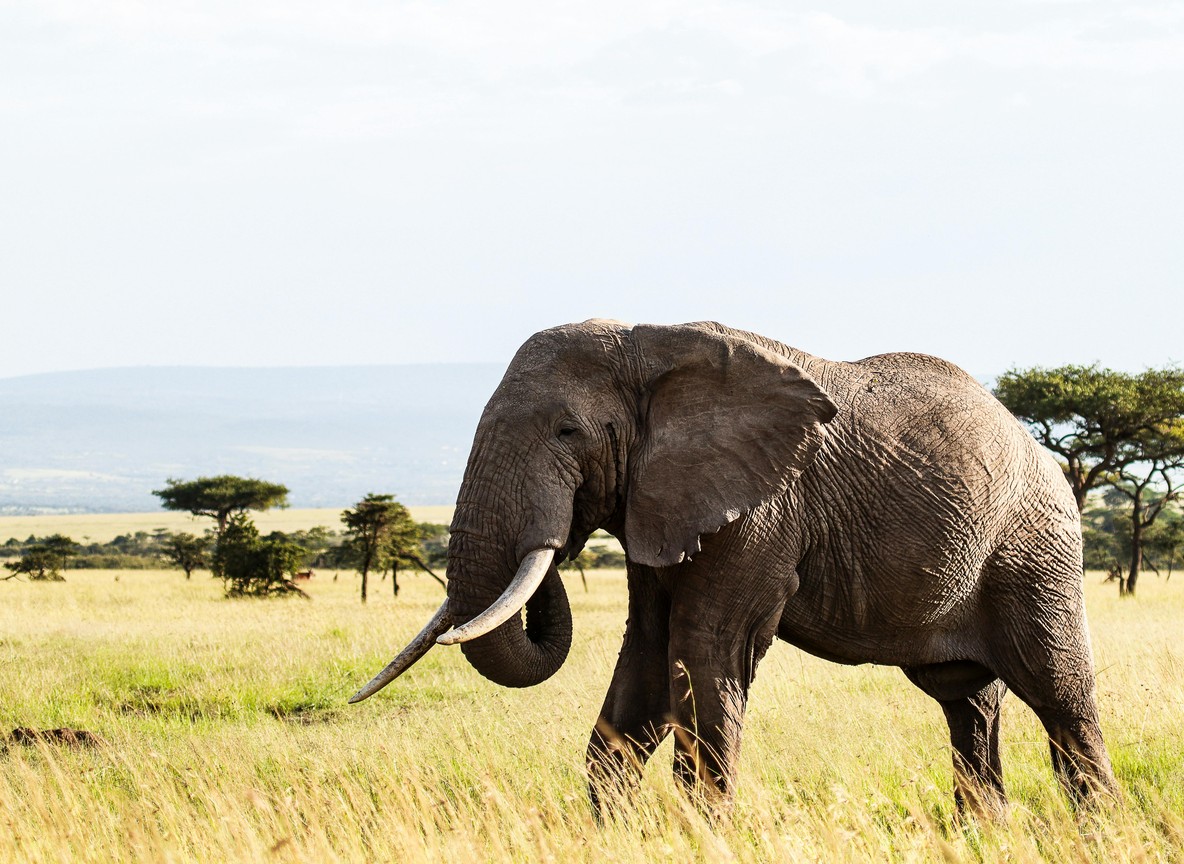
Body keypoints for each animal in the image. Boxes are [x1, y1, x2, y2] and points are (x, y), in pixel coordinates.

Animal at [352, 319, 1118, 818]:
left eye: (568, 432)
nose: (560, 540)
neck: (650, 344)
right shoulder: (663, 503)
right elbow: (648, 660)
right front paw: (613, 830)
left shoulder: (760, 510)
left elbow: (705, 650)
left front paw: (703, 830)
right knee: (967, 701)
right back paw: (983, 831)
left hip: (1035, 548)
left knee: (1059, 693)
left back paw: (1097, 829)